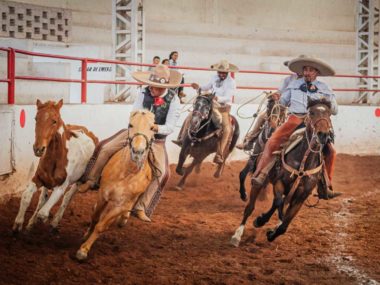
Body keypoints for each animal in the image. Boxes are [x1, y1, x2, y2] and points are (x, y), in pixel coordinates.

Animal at [13, 98, 98, 232]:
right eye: (36, 118)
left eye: (54, 121)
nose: (38, 149)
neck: (57, 158)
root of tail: (88, 132)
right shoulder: (38, 179)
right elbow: (27, 197)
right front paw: (19, 224)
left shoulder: (61, 186)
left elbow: (43, 213)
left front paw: (44, 221)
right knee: (43, 198)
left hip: (79, 181)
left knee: (67, 197)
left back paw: (55, 221)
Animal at [76, 108, 157, 260]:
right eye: (131, 125)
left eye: (152, 128)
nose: (137, 151)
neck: (127, 174)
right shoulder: (103, 195)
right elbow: (95, 217)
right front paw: (85, 236)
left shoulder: (120, 205)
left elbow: (101, 226)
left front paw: (84, 250)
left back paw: (124, 219)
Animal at [229, 98, 332, 246]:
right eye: (311, 112)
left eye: (329, 114)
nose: (323, 135)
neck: (303, 162)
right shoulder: (279, 182)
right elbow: (278, 202)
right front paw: (263, 221)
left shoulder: (301, 196)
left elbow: (285, 224)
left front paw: (272, 232)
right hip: (259, 174)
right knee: (251, 206)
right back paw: (238, 234)